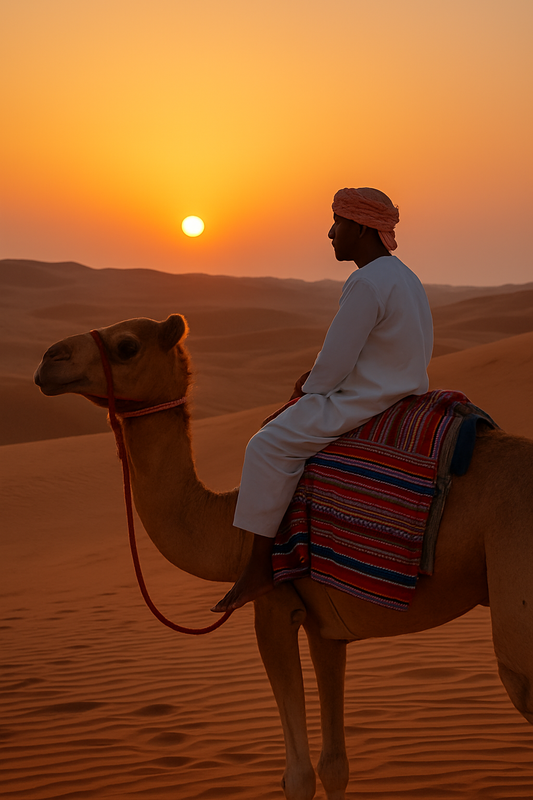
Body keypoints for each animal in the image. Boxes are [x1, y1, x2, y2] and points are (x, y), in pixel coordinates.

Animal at [34, 313, 533, 800]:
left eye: (126, 346)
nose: (47, 359)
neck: (232, 526)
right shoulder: (326, 628)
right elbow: (335, 766)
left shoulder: (273, 610)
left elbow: (299, 777)